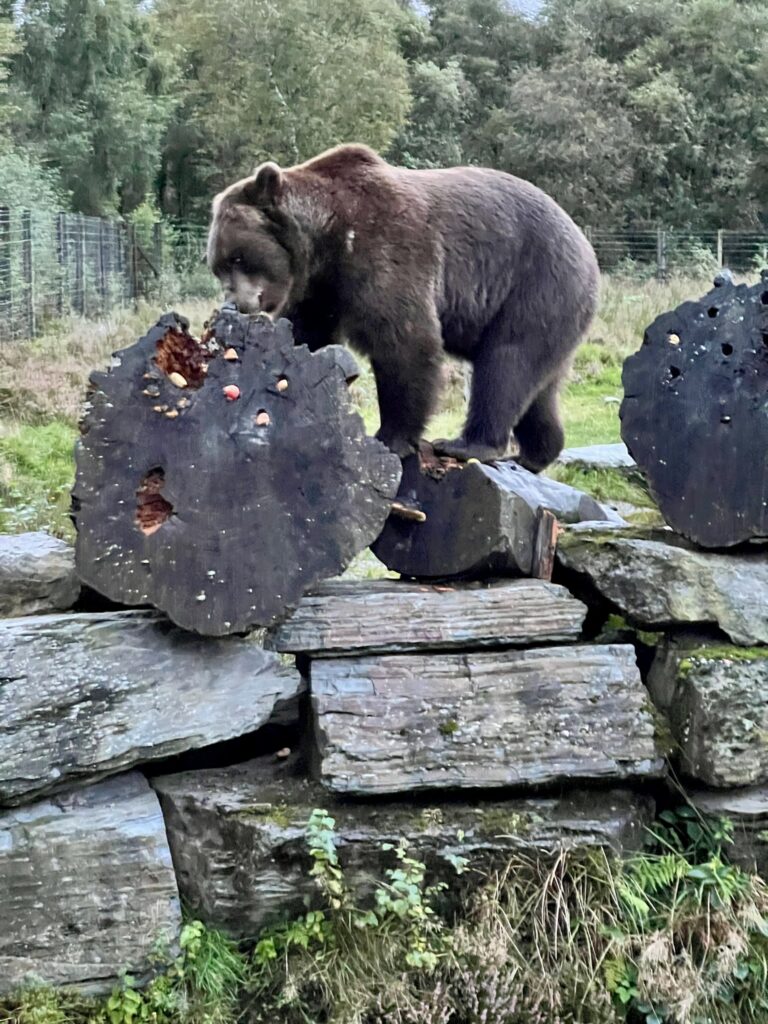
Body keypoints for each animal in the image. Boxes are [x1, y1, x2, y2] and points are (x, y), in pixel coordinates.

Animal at [206, 144, 599, 470]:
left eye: (238, 257)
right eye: (218, 266)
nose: (235, 304)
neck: (329, 238)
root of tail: (586, 248)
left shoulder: (386, 250)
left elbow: (405, 342)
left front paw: (391, 436)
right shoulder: (324, 289)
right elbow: (309, 335)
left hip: (537, 285)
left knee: (506, 363)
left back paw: (467, 444)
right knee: (538, 385)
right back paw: (537, 452)